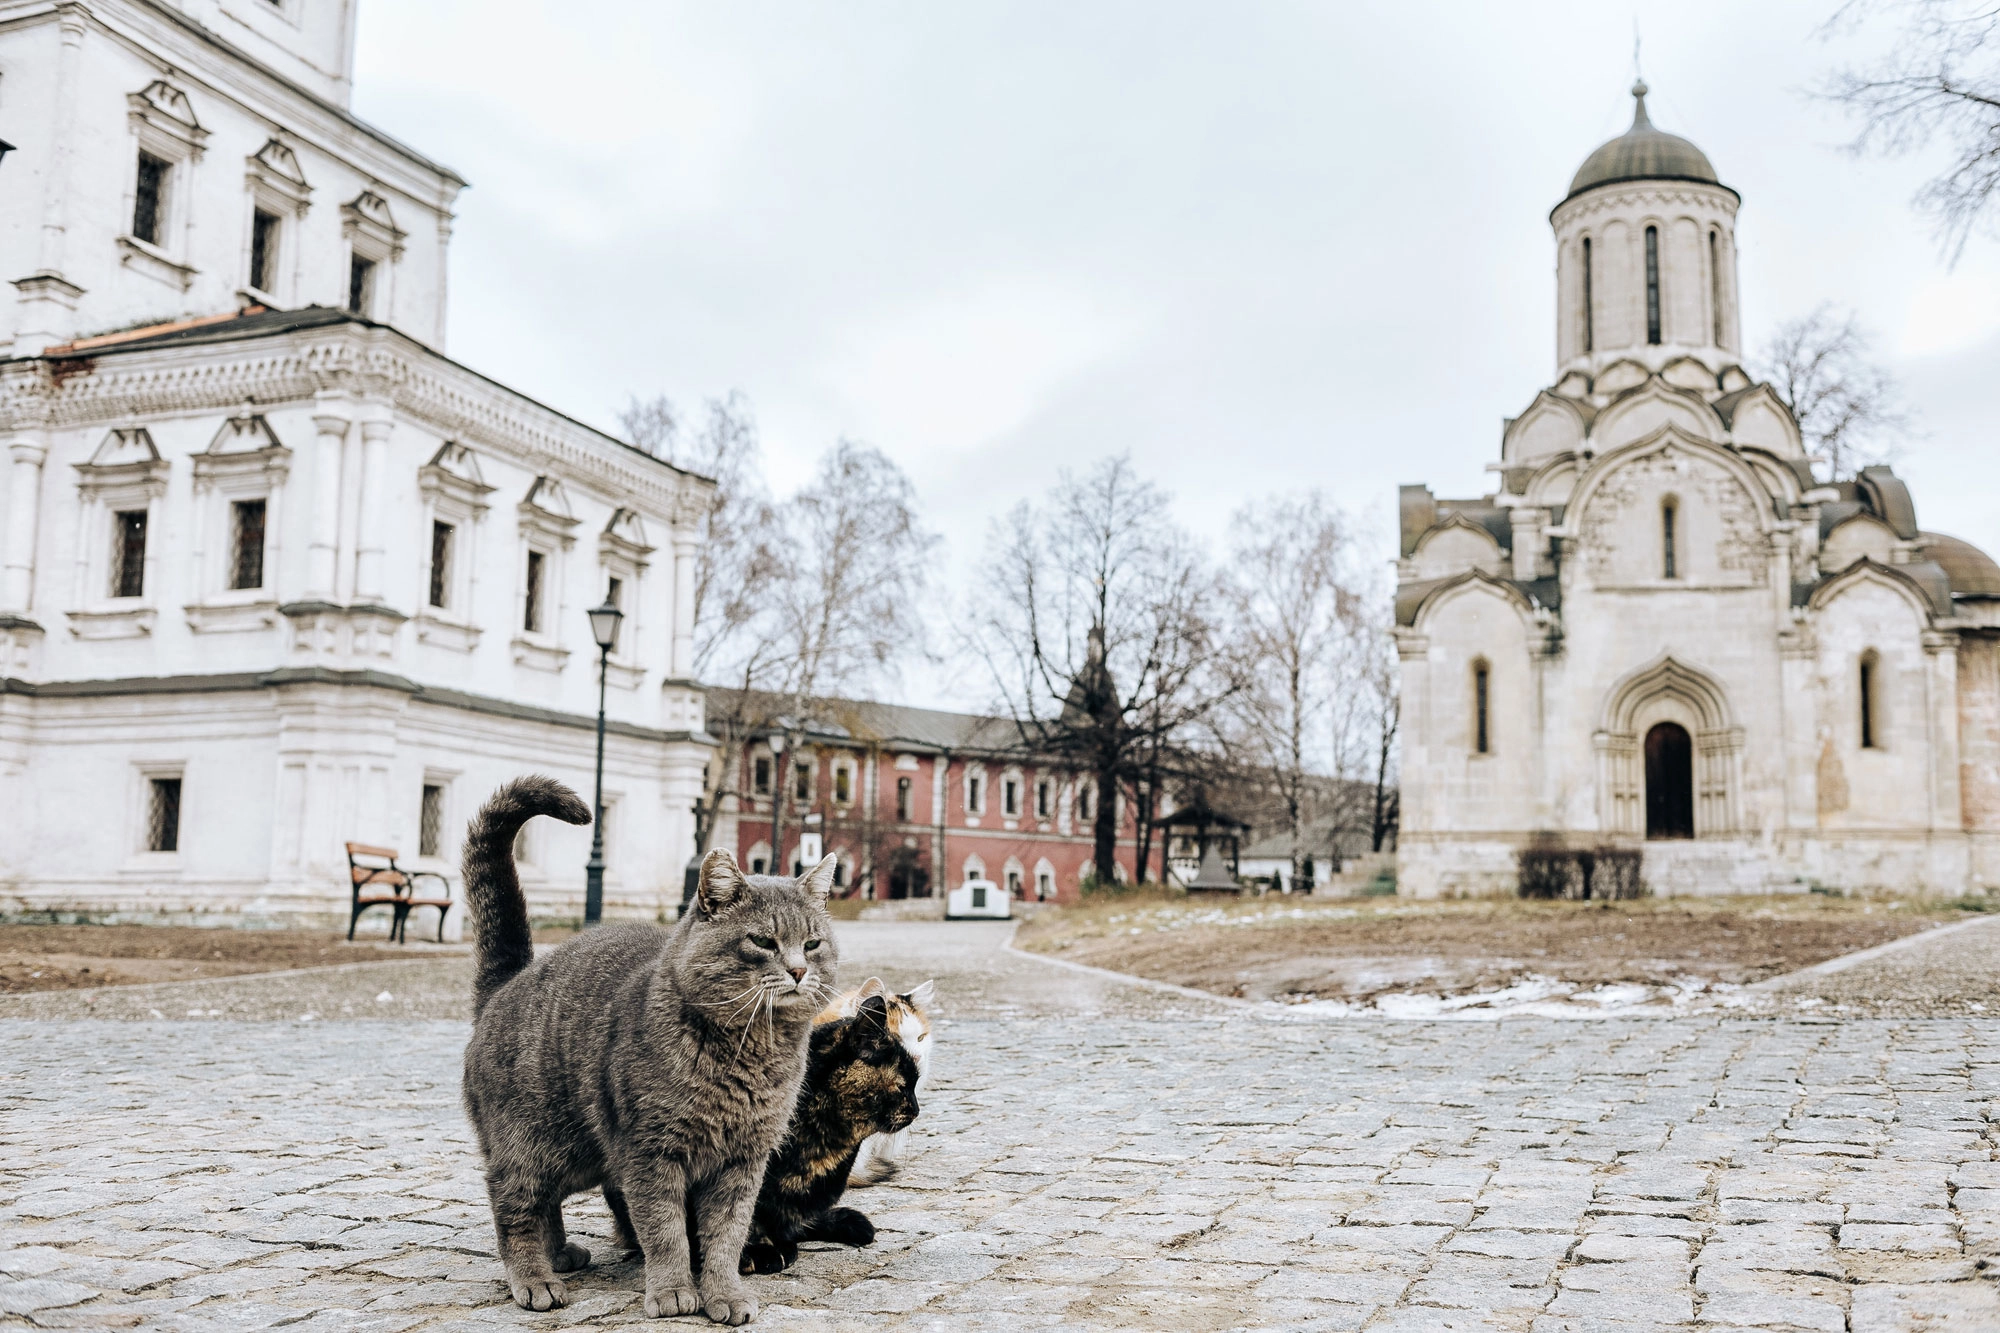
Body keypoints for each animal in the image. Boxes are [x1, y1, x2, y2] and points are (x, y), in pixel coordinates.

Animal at [458, 772, 836, 1320]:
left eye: (813, 944)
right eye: (763, 941)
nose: (800, 970)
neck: (751, 1055)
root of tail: (508, 980)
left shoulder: (743, 1162)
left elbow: (726, 1235)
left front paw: (724, 1293)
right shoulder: (649, 1154)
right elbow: (664, 1230)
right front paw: (674, 1292)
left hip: (579, 1155)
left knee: (545, 1204)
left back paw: (560, 1254)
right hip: (530, 1143)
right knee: (513, 1205)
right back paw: (535, 1278)